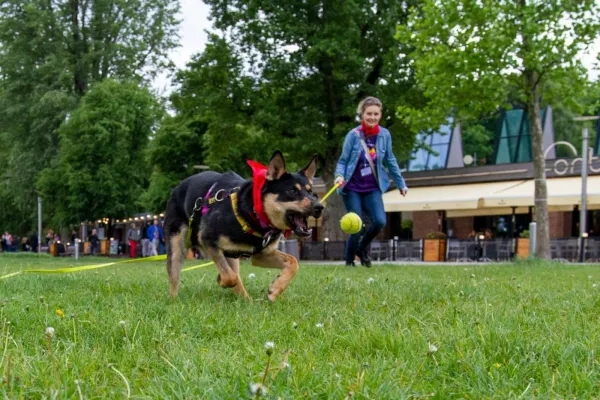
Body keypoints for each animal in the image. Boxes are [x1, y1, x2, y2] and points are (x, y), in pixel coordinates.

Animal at [163, 152, 324, 302]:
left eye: (310, 191)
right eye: (292, 191)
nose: (319, 207)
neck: (254, 213)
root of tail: (177, 188)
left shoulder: (261, 254)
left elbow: (293, 261)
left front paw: (276, 287)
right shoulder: (208, 240)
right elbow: (230, 278)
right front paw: (222, 280)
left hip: (231, 254)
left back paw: (247, 301)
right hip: (177, 247)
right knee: (174, 279)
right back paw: (174, 300)